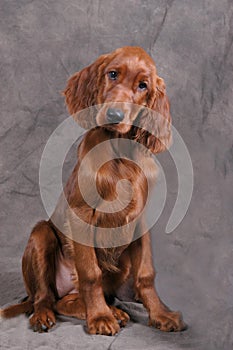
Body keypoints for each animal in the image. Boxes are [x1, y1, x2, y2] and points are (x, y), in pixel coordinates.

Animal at [0, 46, 186, 334]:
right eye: (113, 74)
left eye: (143, 85)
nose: (114, 116)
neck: (119, 153)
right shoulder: (82, 216)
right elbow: (90, 273)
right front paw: (99, 317)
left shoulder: (140, 222)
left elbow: (146, 275)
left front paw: (160, 314)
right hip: (41, 235)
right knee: (47, 298)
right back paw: (48, 316)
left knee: (67, 301)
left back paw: (115, 310)